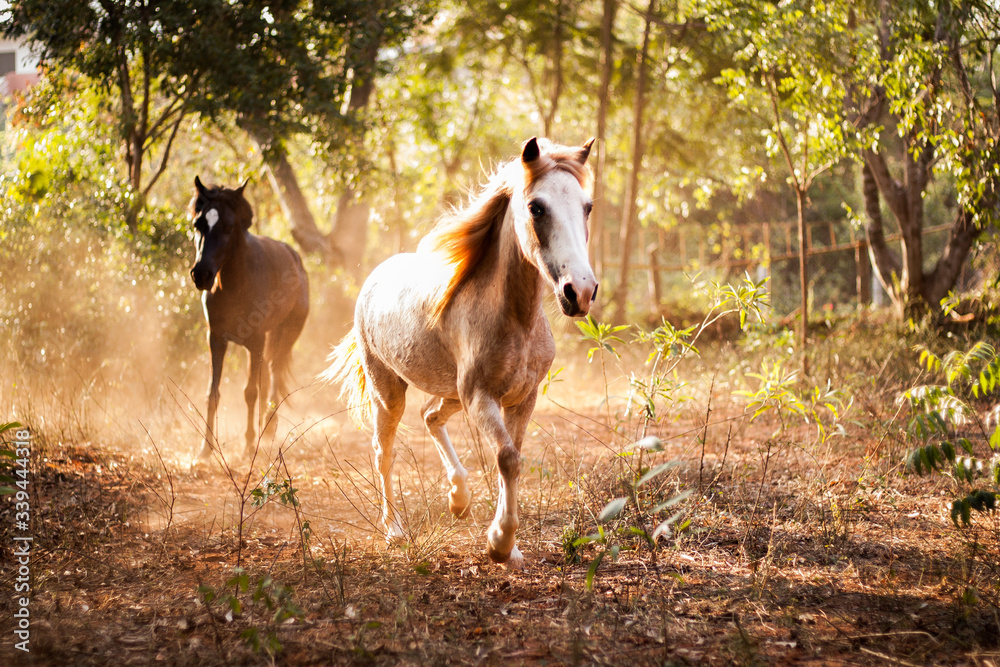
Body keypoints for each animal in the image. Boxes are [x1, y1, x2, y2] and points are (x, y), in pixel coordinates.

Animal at [188, 177, 310, 461]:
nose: (201, 275)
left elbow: (250, 393)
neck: (235, 284)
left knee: (274, 376)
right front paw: (205, 448)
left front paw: (248, 444)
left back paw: (268, 428)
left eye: (228, 226)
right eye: (198, 224)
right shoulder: (216, 340)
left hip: (284, 336)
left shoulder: (255, 342)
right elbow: (213, 393)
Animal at [323, 137, 597, 567]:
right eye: (537, 207)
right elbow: (507, 458)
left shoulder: (522, 398)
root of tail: (374, 277)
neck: (515, 319)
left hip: (451, 393)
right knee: (384, 452)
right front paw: (500, 542)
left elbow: (513, 456)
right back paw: (395, 531)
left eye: (587, 207)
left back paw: (458, 498)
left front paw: (509, 547)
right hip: (391, 393)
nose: (580, 291)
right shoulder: (481, 397)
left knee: (430, 416)